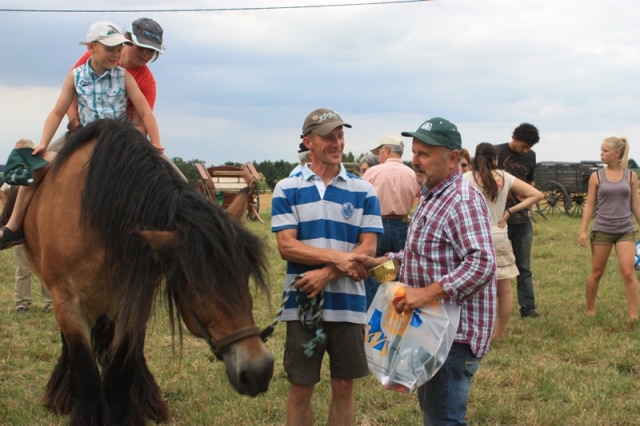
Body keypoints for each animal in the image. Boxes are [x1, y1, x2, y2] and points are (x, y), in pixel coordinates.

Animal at [21, 118, 272, 424]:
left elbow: (120, 375)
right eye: (197, 285)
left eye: (244, 276)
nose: (259, 370)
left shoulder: (135, 300)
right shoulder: (66, 302)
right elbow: (86, 376)